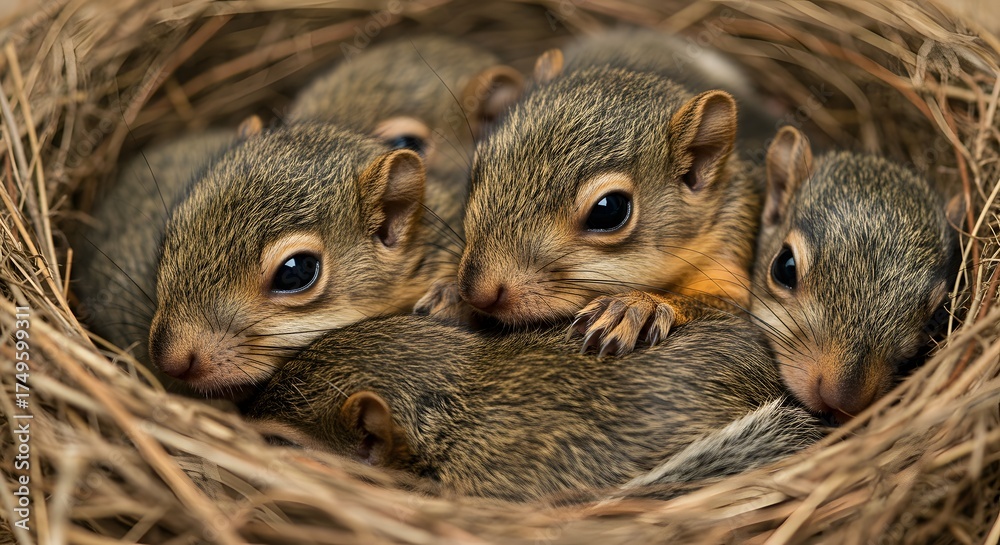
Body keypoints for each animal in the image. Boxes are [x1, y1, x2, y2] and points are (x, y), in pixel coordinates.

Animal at [417, 30, 764, 356]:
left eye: (609, 210)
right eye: (478, 166)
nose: (477, 293)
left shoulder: (728, 259)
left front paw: (637, 305)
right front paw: (450, 294)